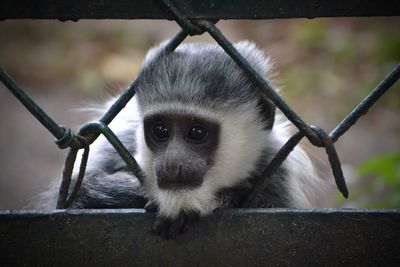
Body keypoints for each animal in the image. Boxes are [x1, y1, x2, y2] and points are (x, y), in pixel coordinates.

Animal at [37, 41, 324, 239]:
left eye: (197, 132)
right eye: (160, 130)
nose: (173, 164)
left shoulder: (275, 173)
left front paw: (229, 196)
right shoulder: (119, 143)